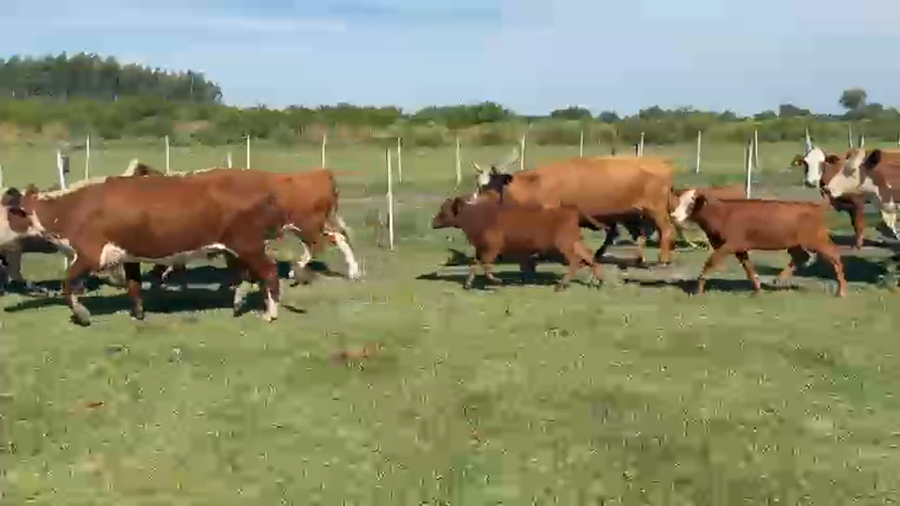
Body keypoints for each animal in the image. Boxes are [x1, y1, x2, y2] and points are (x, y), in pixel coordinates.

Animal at [8, 171, 289, 326]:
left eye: (7, 209)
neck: (71, 210)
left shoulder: (89, 255)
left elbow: (67, 286)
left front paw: (82, 314)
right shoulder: (128, 254)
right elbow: (133, 286)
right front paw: (138, 314)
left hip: (249, 246)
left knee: (270, 272)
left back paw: (270, 314)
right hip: (238, 250)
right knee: (248, 276)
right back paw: (241, 305)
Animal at [431, 195, 604, 291]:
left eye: (444, 211)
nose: (432, 222)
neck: (478, 217)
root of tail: (571, 209)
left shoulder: (492, 249)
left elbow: (486, 267)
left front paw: (498, 281)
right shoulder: (481, 249)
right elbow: (475, 265)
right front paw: (467, 284)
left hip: (564, 245)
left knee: (575, 261)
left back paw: (561, 285)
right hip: (573, 242)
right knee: (588, 255)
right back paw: (598, 281)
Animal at [472, 156, 678, 266]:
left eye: (492, 187)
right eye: (480, 185)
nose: (474, 201)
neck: (536, 184)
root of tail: (661, 162)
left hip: (656, 210)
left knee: (666, 230)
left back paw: (663, 259)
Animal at [670, 188, 847, 297]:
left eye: (691, 203)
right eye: (679, 201)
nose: (674, 216)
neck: (721, 213)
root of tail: (815, 207)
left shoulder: (730, 245)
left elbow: (710, 262)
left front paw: (698, 289)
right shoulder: (739, 247)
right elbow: (748, 268)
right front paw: (757, 289)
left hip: (816, 240)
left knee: (835, 256)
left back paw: (842, 291)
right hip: (795, 244)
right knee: (801, 257)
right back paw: (779, 279)